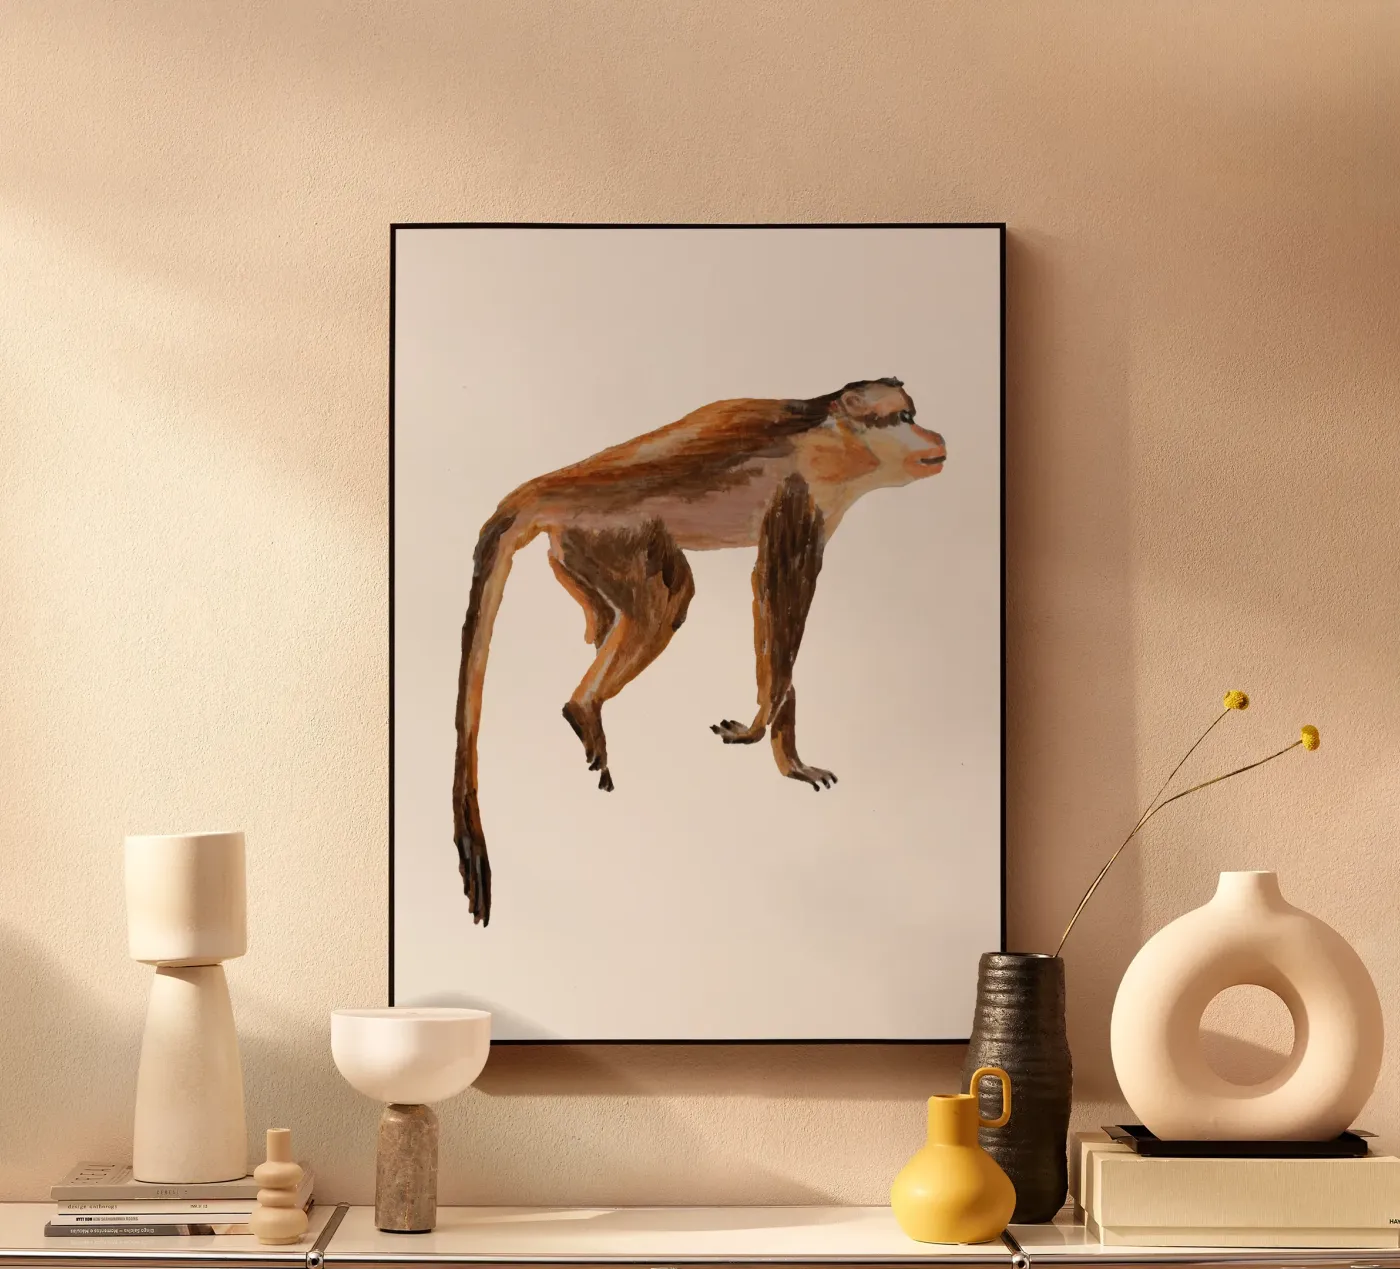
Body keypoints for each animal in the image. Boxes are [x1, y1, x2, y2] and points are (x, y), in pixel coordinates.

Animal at [452, 377, 947, 925]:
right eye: (905, 418)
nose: (934, 436)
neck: (833, 430)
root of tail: (547, 487)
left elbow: (774, 616)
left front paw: (789, 757)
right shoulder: (801, 490)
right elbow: (776, 591)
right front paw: (758, 729)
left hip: (576, 547)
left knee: (617, 611)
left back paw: (593, 665)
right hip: (610, 528)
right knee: (668, 599)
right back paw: (582, 706)